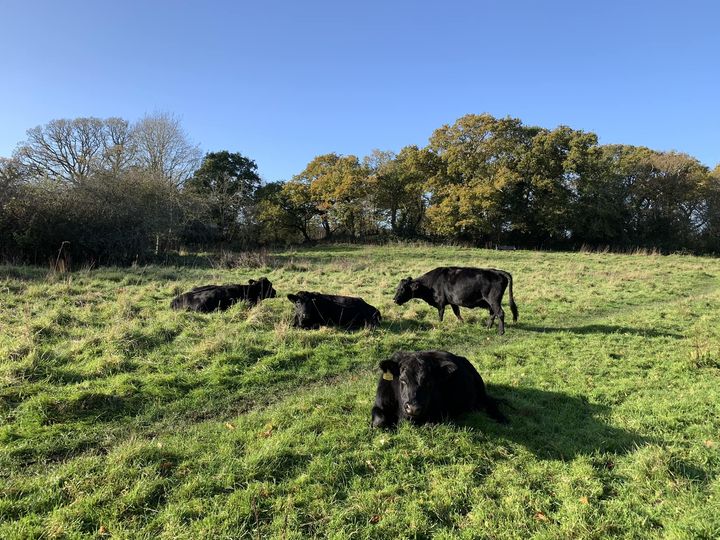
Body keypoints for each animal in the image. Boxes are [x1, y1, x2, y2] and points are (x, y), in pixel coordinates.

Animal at [371, 350, 506, 429]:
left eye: (429, 383)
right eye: (403, 380)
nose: (413, 408)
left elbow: (428, 424)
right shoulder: (380, 403)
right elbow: (379, 421)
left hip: (481, 392)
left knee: (490, 402)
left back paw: (502, 419)